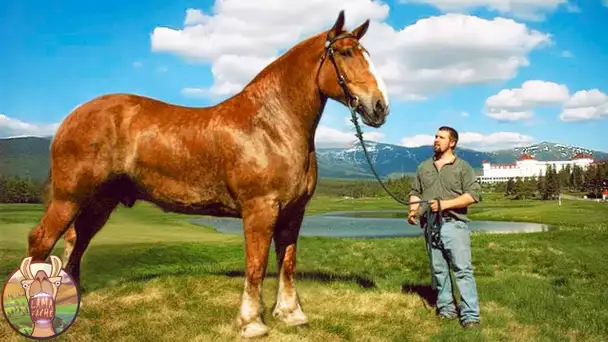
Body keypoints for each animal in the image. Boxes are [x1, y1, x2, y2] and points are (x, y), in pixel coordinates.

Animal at [26, 10, 390, 336]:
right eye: (345, 53)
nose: (380, 107)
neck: (270, 124)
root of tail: (72, 118)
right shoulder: (260, 210)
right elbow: (256, 266)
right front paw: (251, 323)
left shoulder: (293, 212)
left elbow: (287, 263)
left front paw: (291, 315)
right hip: (68, 198)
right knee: (42, 240)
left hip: (100, 202)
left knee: (78, 241)